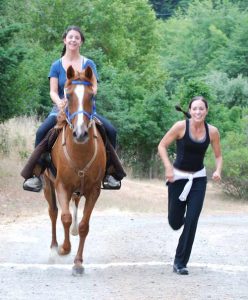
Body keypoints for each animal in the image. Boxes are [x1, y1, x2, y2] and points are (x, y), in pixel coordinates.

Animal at [43, 64, 106, 276]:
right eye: (68, 96)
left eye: (91, 96)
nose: (80, 133)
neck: (79, 153)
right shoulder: (61, 186)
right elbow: (65, 217)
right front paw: (64, 249)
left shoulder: (94, 190)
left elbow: (84, 225)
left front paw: (78, 262)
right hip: (47, 185)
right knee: (53, 212)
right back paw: (53, 248)